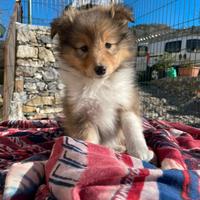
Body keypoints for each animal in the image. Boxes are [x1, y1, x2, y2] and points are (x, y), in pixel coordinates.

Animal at [50, 4, 154, 161]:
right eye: (83, 48)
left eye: (108, 45)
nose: (100, 69)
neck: (99, 84)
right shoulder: (82, 115)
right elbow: (89, 140)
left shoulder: (127, 102)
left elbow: (132, 127)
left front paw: (141, 152)